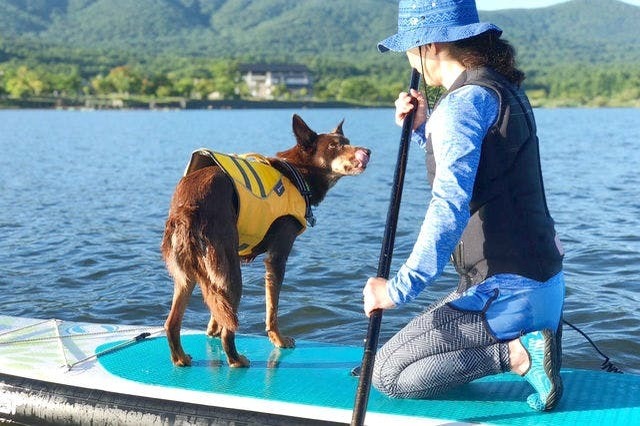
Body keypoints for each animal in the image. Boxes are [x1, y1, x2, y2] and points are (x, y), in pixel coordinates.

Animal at [160, 115, 370, 368]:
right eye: (333, 146)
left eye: (347, 142)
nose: (367, 151)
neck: (299, 174)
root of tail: (186, 209)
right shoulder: (277, 257)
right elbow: (272, 308)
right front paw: (278, 339)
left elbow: (218, 309)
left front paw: (211, 329)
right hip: (231, 272)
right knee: (229, 331)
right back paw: (236, 360)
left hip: (188, 274)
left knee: (172, 323)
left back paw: (181, 358)